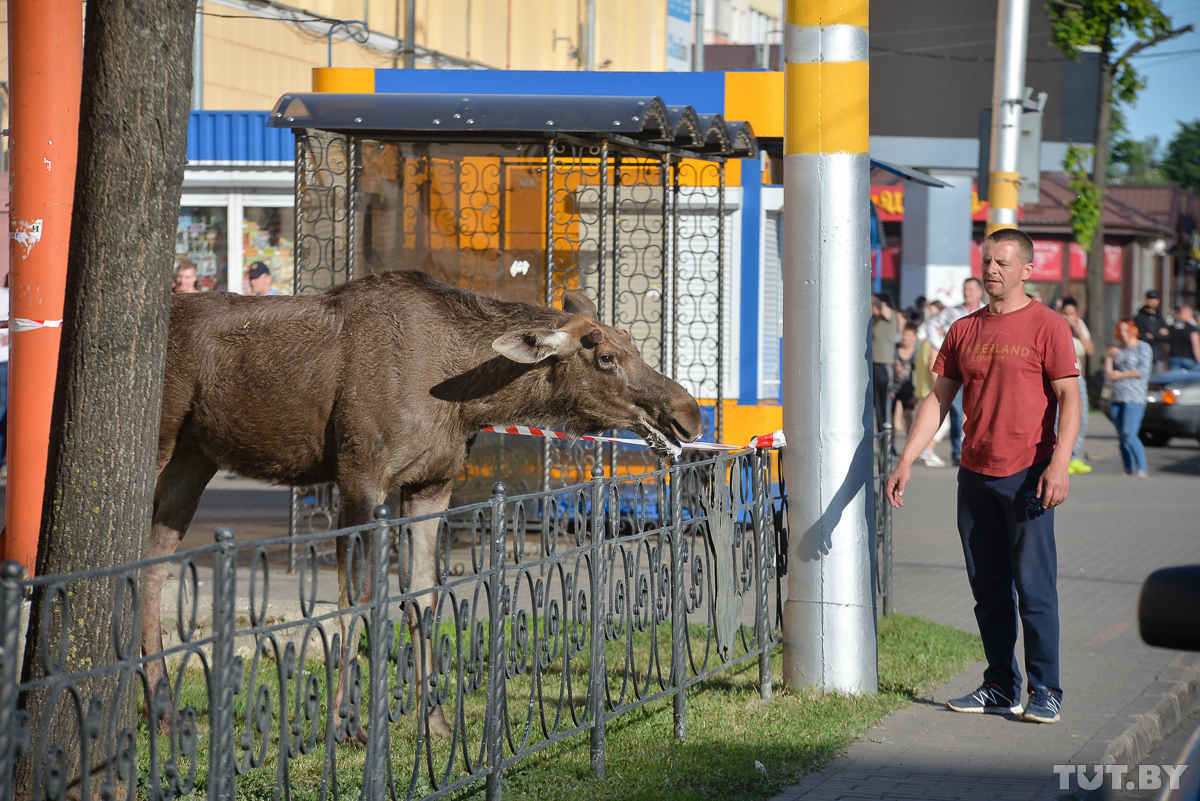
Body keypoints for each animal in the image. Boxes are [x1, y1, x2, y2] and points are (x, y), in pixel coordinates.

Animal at [148, 267, 700, 738]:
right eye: (606, 358)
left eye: (631, 342)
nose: (689, 415)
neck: (469, 403)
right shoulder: (360, 475)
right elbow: (357, 597)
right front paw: (346, 722)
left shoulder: (432, 482)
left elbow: (423, 595)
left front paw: (432, 719)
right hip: (160, 443)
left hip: (195, 457)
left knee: (155, 566)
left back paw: (166, 714)